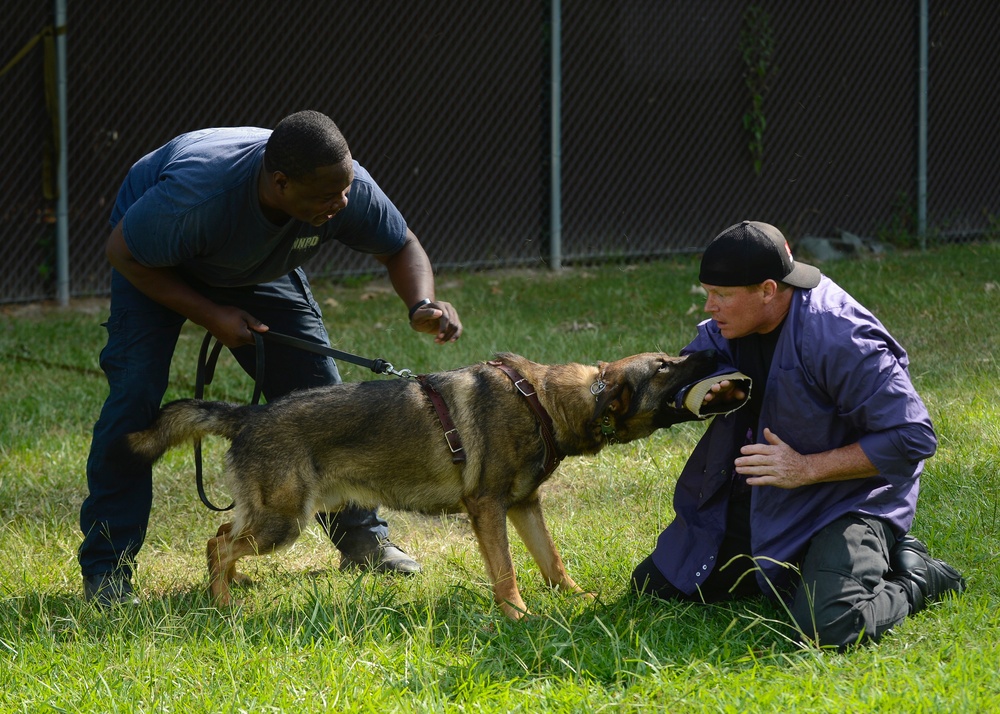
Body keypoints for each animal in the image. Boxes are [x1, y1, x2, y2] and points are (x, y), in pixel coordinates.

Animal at [125, 350, 744, 616]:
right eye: (665, 367)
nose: (708, 350)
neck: (545, 400)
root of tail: (248, 416)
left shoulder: (525, 506)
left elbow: (552, 560)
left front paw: (572, 598)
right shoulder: (488, 508)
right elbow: (508, 573)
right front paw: (518, 616)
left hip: (272, 517)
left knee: (221, 536)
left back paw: (226, 595)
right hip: (284, 522)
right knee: (218, 545)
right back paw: (223, 606)